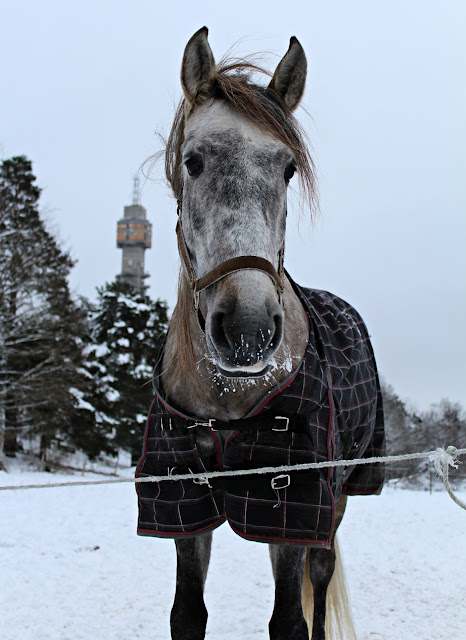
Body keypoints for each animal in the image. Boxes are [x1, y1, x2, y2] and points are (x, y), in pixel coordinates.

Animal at [137, 27, 384, 636]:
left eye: (288, 168)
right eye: (193, 161)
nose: (247, 330)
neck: (227, 404)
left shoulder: (291, 508)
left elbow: (290, 619)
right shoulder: (184, 507)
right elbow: (187, 612)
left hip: (339, 496)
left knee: (321, 575)